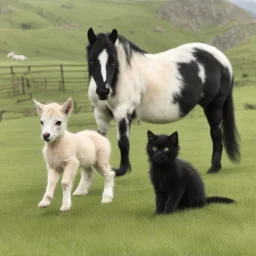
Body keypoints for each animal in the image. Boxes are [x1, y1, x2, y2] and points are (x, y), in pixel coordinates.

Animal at [86, 28, 240, 176]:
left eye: (113, 59)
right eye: (91, 59)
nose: (103, 91)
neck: (120, 76)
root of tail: (223, 61)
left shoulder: (122, 111)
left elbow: (123, 143)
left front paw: (120, 171)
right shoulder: (101, 115)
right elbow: (98, 141)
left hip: (214, 107)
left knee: (216, 134)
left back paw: (214, 168)